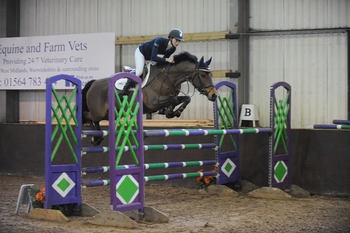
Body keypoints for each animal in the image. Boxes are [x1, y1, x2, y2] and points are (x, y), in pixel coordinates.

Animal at [83, 52, 217, 145]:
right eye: (203, 75)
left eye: (211, 74)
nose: (214, 95)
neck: (168, 78)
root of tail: (94, 83)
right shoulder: (153, 102)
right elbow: (174, 99)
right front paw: (171, 112)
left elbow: (186, 98)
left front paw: (172, 112)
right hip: (98, 112)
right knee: (87, 116)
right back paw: (95, 137)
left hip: (110, 114)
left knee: (95, 120)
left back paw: (97, 138)